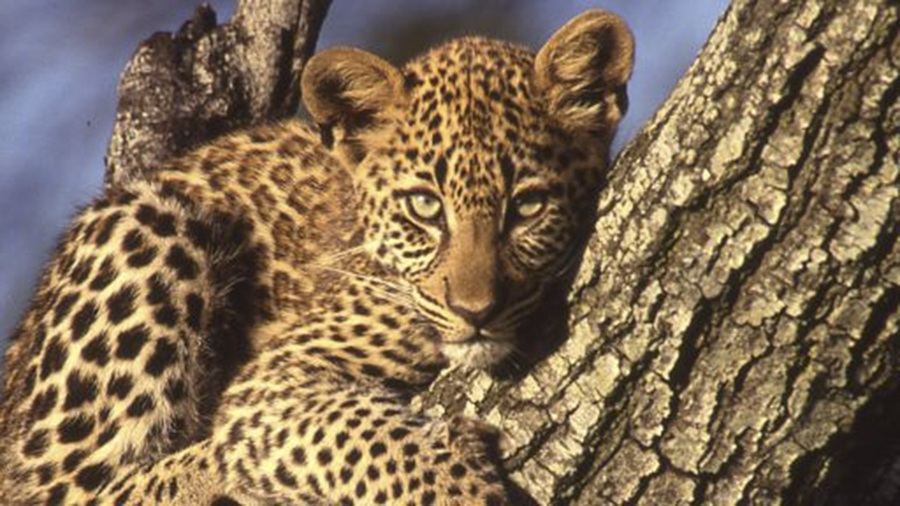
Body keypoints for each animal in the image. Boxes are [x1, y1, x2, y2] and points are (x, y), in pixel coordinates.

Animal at [0, 9, 633, 505]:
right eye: (425, 206)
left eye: (527, 206)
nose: (476, 312)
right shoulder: (276, 379)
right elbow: (358, 436)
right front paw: (460, 488)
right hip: (148, 224)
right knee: (65, 490)